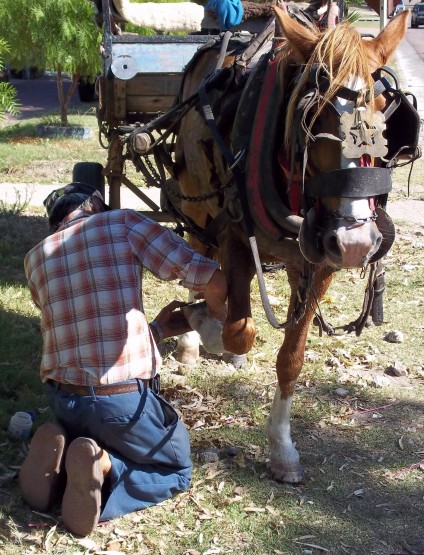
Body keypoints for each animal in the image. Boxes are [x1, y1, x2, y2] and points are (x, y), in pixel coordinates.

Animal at [171, 6, 416, 482]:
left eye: (384, 113)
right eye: (313, 116)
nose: (356, 240)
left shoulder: (320, 262)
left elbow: (292, 357)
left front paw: (282, 448)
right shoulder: (233, 236)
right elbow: (238, 331)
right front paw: (207, 326)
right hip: (198, 205)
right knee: (198, 254)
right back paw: (195, 334)